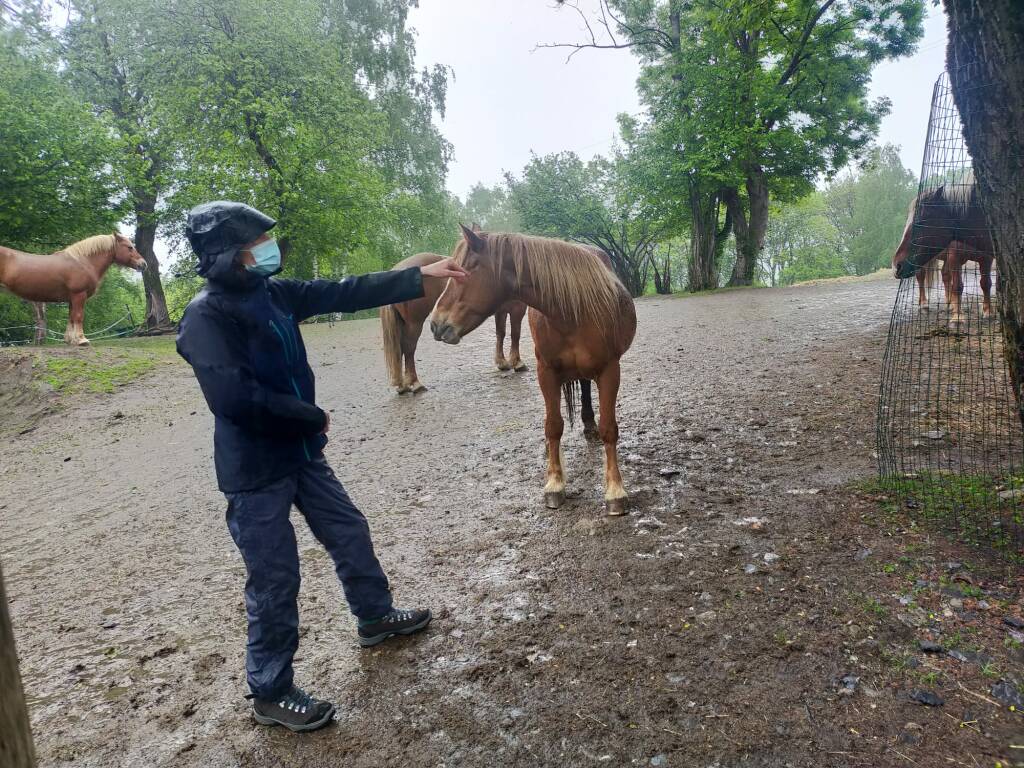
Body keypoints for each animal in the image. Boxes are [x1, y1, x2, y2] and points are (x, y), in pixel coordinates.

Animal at [0, 231, 146, 346]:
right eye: (129, 247)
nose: (143, 264)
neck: (83, 262)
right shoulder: (79, 295)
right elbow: (79, 316)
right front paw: (82, 340)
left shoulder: (71, 298)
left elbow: (71, 317)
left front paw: (70, 340)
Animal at [382, 253, 532, 397]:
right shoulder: (517, 309)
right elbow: (515, 334)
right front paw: (517, 363)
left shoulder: (501, 311)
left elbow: (500, 333)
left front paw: (502, 362)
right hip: (414, 323)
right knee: (409, 348)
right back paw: (415, 383)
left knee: (400, 349)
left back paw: (402, 386)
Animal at [428, 228, 634, 518]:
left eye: (464, 269)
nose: (436, 325)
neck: (571, 310)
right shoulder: (546, 372)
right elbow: (553, 425)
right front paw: (555, 483)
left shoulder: (609, 371)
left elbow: (609, 429)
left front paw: (615, 490)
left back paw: (588, 424)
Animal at [897, 180, 991, 321]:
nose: (896, 265)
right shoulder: (954, 257)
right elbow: (957, 286)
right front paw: (958, 316)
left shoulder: (986, 258)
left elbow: (985, 283)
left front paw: (987, 311)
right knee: (921, 276)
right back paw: (924, 304)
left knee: (945, 275)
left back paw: (949, 302)